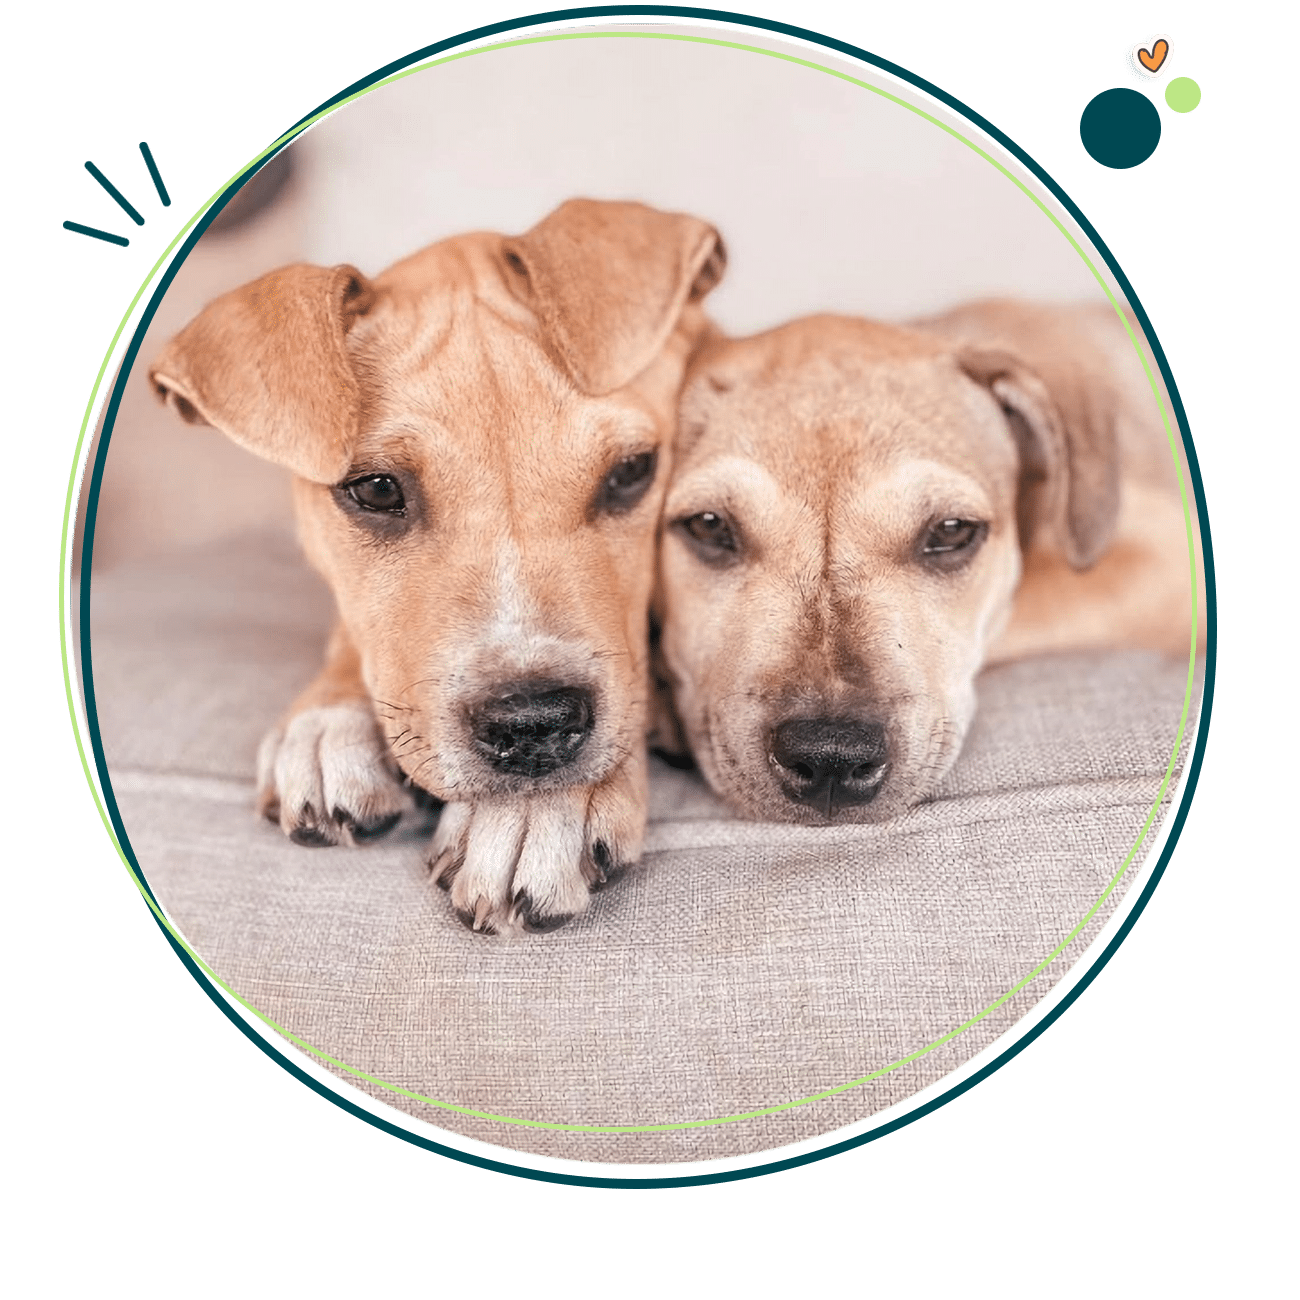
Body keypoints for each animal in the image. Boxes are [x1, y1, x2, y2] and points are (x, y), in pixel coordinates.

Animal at [149, 197, 733, 930]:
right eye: (376, 490)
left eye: (631, 471)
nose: (534, 723)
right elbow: (354, 634)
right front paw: (326, 723)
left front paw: (540, 814)